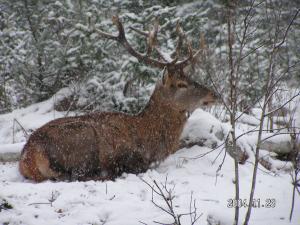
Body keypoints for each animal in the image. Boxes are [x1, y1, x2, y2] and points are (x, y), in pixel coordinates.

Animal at [19, 15, 219, 182]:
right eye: (181, 84)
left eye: (190, 77)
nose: (214, 94)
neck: (151, 139)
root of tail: (28, 156)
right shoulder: (126, 157)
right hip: (82, 139)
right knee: (77, 174)